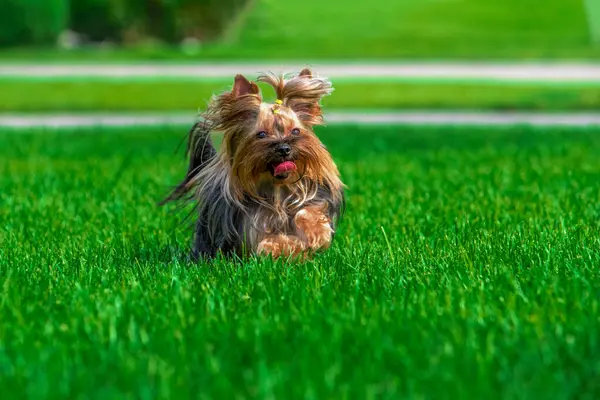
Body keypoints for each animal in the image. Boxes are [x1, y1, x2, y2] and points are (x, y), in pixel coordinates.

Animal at [162, 68, 344, 260]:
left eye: (295, 131)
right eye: (261, 134)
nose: (284, 148)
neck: (277, 190)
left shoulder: (312, 203)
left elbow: (309, 213)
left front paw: (314, 233)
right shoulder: (251, 231)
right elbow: (269, 244)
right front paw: (289, 246)